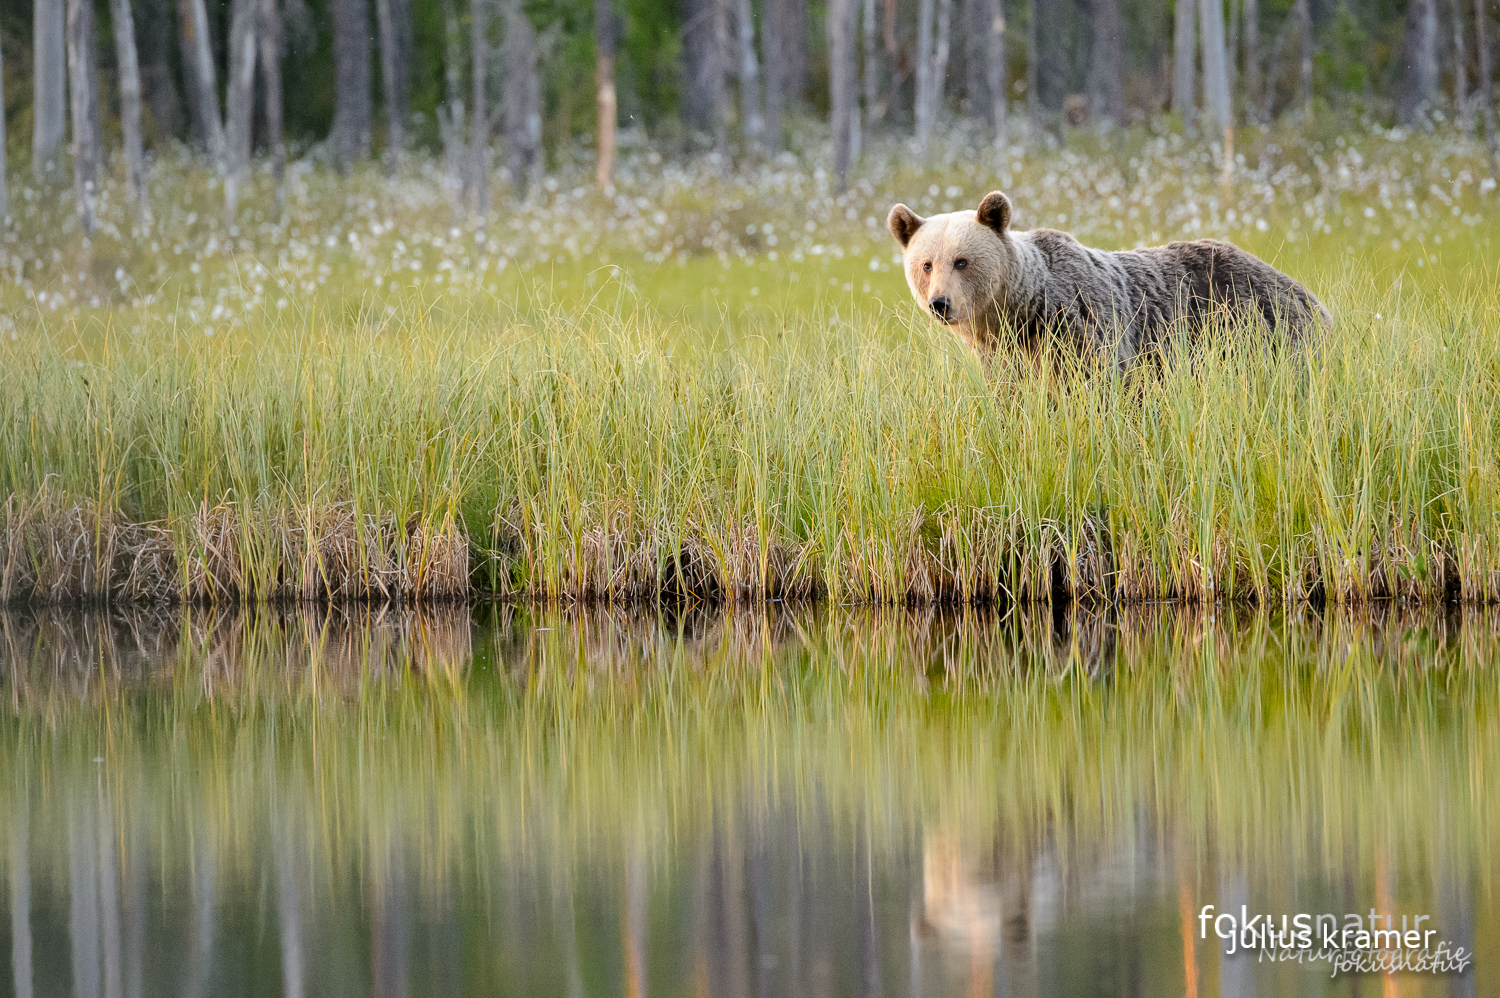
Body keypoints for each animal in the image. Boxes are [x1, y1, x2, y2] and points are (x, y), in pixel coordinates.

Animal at [882, 190, 1332, 366]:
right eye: (926, 264)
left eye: (961, 261)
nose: (940, 303)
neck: (1022, 311)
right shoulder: (1006, 356)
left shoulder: (1082, 328)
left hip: (1257, 328)